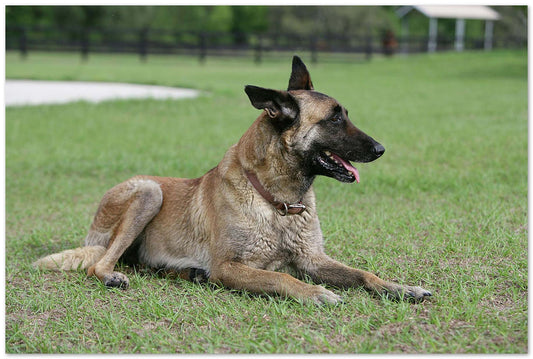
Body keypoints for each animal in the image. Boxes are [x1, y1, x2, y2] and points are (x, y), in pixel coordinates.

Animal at [34, 57, 432, 306]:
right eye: (334, 119)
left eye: (345, 114)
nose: (381, 149)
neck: (277, 201)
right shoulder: (230, 267)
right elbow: (282, 279)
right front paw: (314, 293)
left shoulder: (313, 259)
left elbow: (364, 273)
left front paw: (400, 287)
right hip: (149, 192)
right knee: (98, 264)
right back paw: (113, 275)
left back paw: (185, 272)